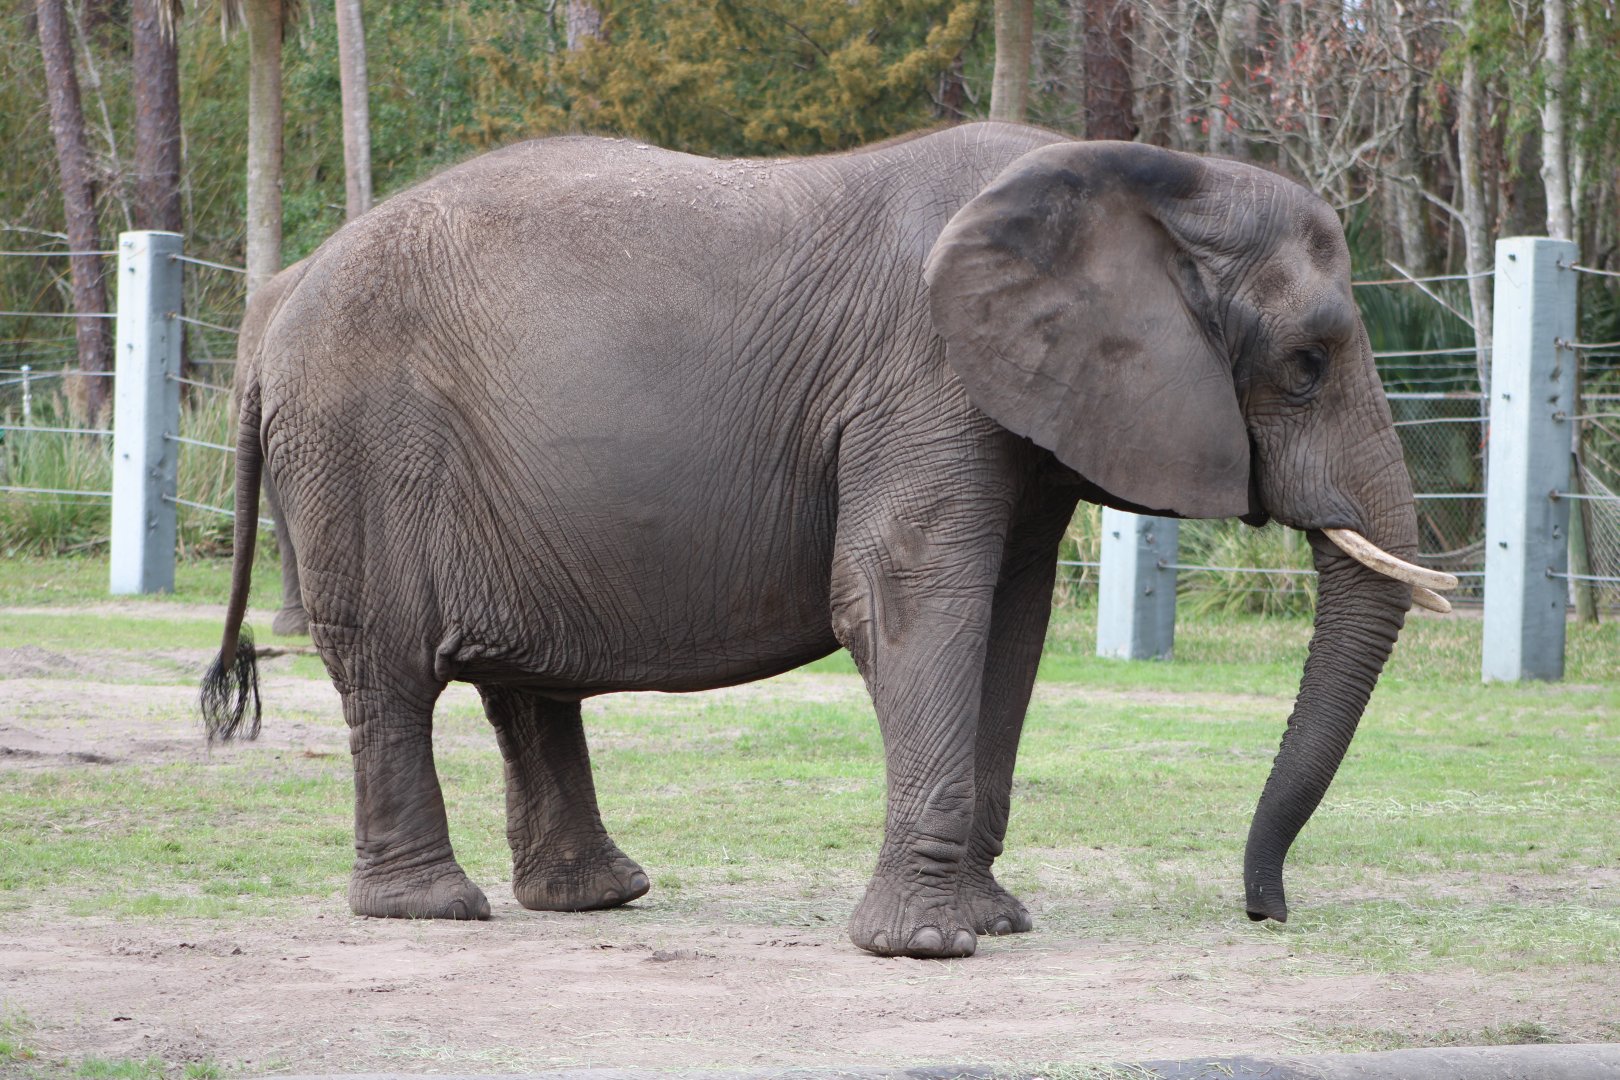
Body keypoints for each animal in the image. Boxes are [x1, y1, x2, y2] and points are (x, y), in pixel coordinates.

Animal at [202, 121, 1455, 959]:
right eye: (1306, 364)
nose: (1264, 910)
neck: (1124, 172)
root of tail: (279, 302)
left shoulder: (1010, 410)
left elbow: (1010, 620)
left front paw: (992, 923)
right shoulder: (923, 380)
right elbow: (908, 599)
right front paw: (927, 948)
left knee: (521, 685)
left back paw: (599, 898)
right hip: (360, 444)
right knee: (390, 673)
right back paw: (434, 910)